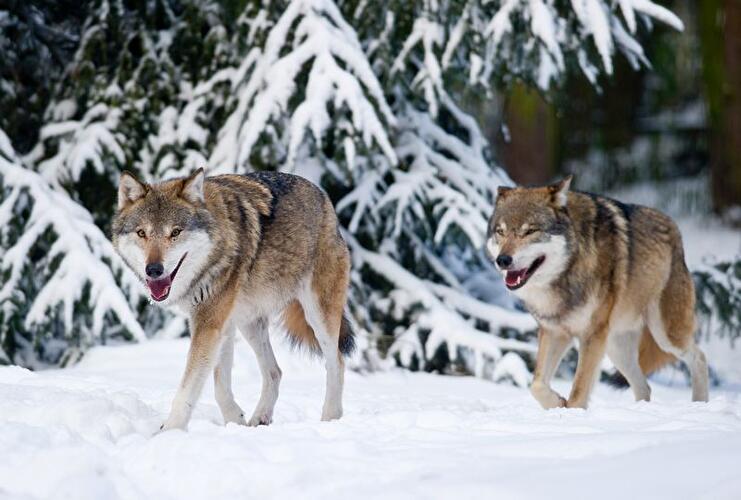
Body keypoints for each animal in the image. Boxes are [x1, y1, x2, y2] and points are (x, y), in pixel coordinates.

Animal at [112, 168, 355, 431]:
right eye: (141, 233)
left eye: (175, 232)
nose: (153, 270)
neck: (219, 238)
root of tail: (324, 197)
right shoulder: (221, 324)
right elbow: (220, 385)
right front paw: (235, 422)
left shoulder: (209, 323)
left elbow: (188, 388)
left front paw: (170, 432)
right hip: (249, 323)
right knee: (275, 372)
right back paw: (260, 418)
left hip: (318, 316)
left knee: (336, 363)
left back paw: (330, 418)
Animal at [485, 176, 709, 409]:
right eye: (500, 232)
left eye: (530, 231)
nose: (503, 260)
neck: (567, 270)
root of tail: (673, 226)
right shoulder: (554, 331)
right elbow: (536, 385)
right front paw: (557, 404)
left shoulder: (591, 335)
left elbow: (578, 394)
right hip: (616, 348)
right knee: (644, 387)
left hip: (665, 336)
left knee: (700, 358)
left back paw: (699, 404)